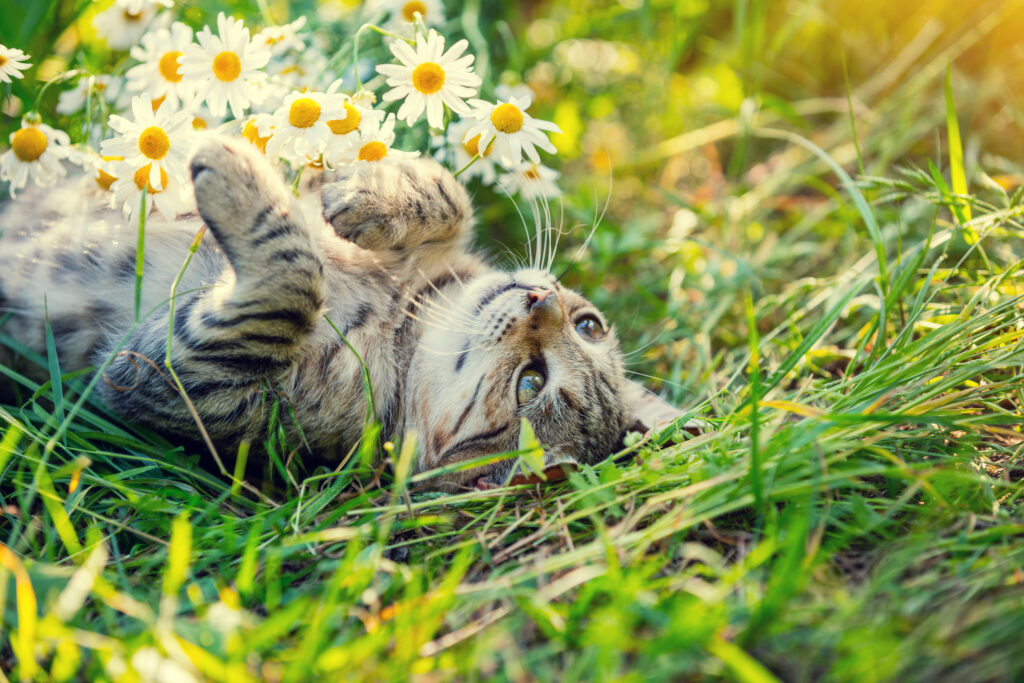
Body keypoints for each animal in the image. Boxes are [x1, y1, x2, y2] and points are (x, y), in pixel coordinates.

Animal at [2, 136, 688, 491]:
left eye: (530, 385)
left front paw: (237, 177)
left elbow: (291, 283)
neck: (404, 311)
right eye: (590, 325)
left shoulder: (179, 379)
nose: (541, 301)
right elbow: (451, 194)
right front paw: (370, 197)